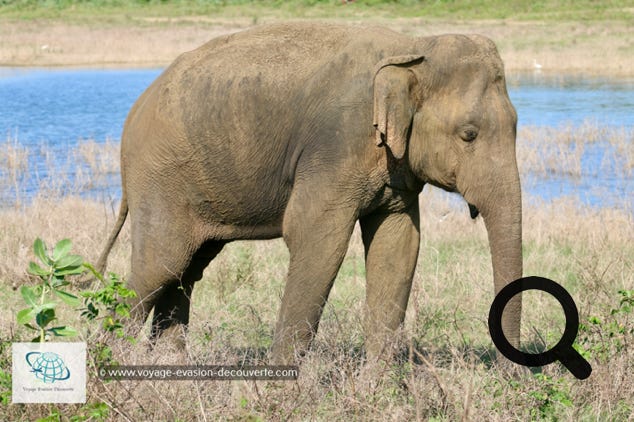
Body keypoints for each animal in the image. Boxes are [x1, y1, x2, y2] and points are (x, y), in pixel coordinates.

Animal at [97, 22, 520, 362]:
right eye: (469, 134)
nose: (510, 375)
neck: (413, 46)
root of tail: (133, 114)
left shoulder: (393, 165)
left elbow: (398, 244)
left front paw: (377, 390)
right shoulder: (335, 146)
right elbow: (316, 240)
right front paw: (281, 392)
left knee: (186, 270)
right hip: (161, 178)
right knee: (158, 266)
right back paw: (109, 368)